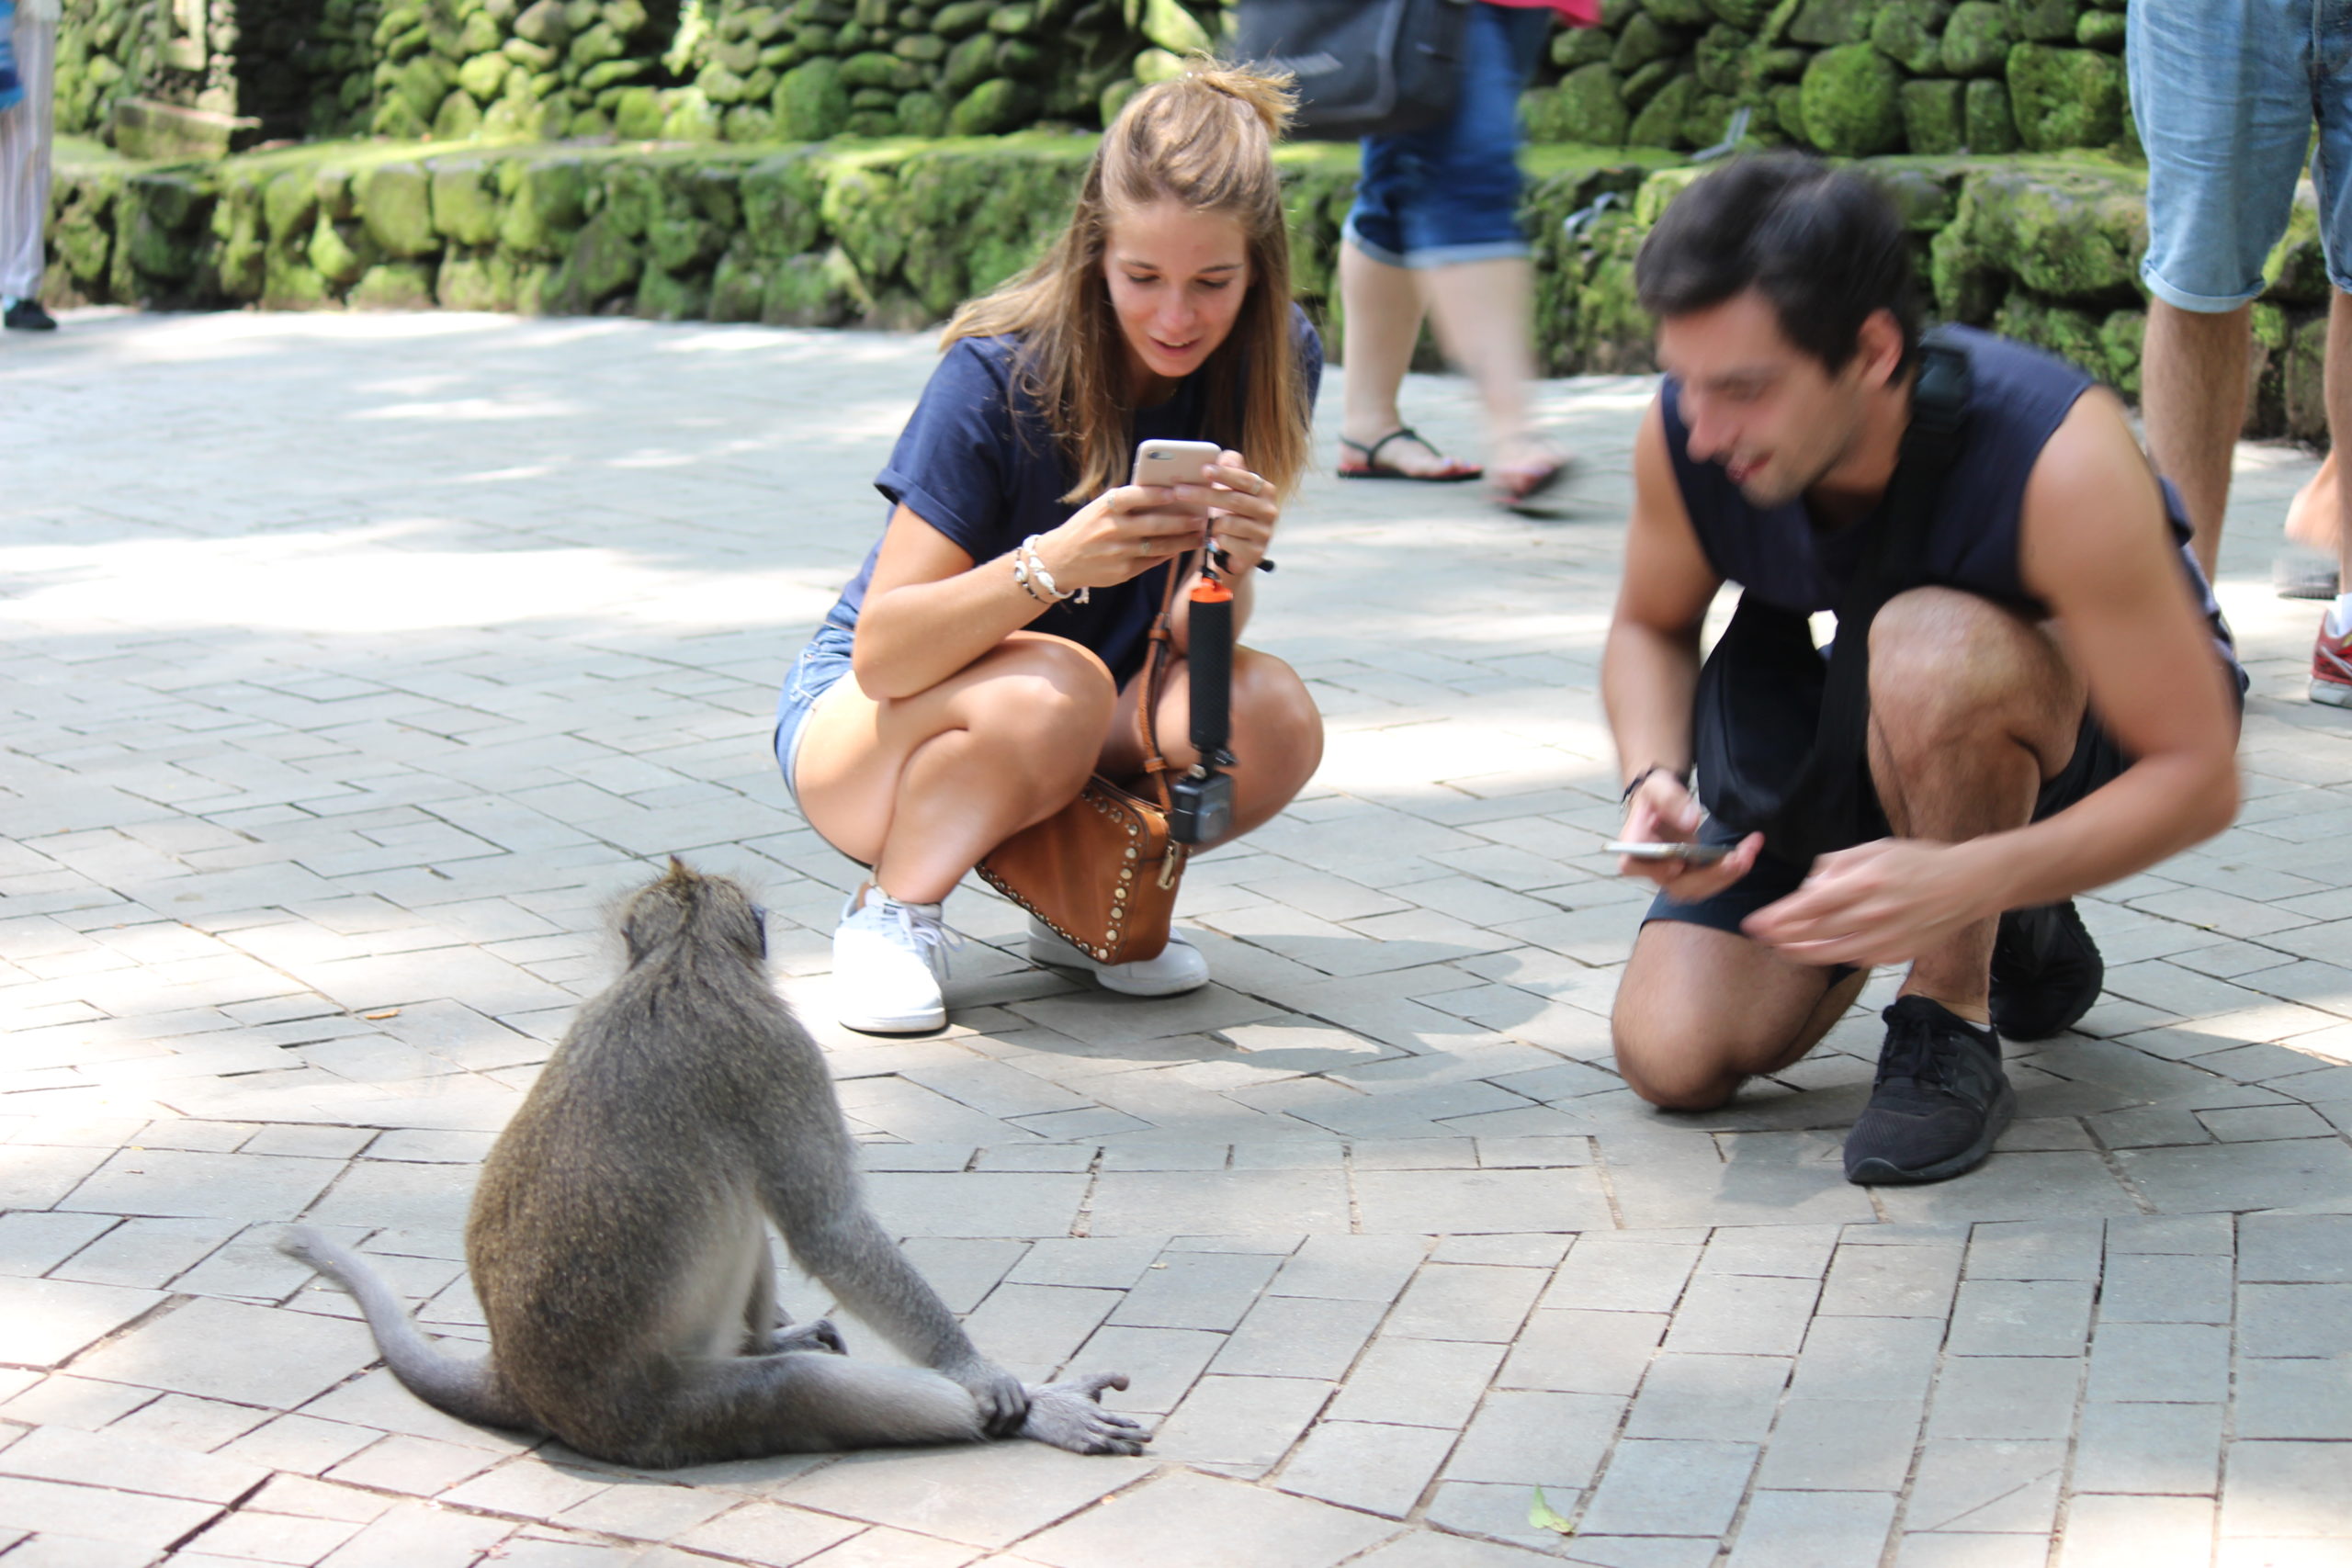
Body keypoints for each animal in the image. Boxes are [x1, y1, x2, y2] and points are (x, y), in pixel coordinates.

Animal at [279, 860, 1143, 1476]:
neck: (683, 959)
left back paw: (765, 1341)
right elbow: (829, 1229)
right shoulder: (780, 1052)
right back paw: (1034, 1412)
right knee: (792, 1387)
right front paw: (981, 1374)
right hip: (667, 1418)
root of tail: (517, 1379)